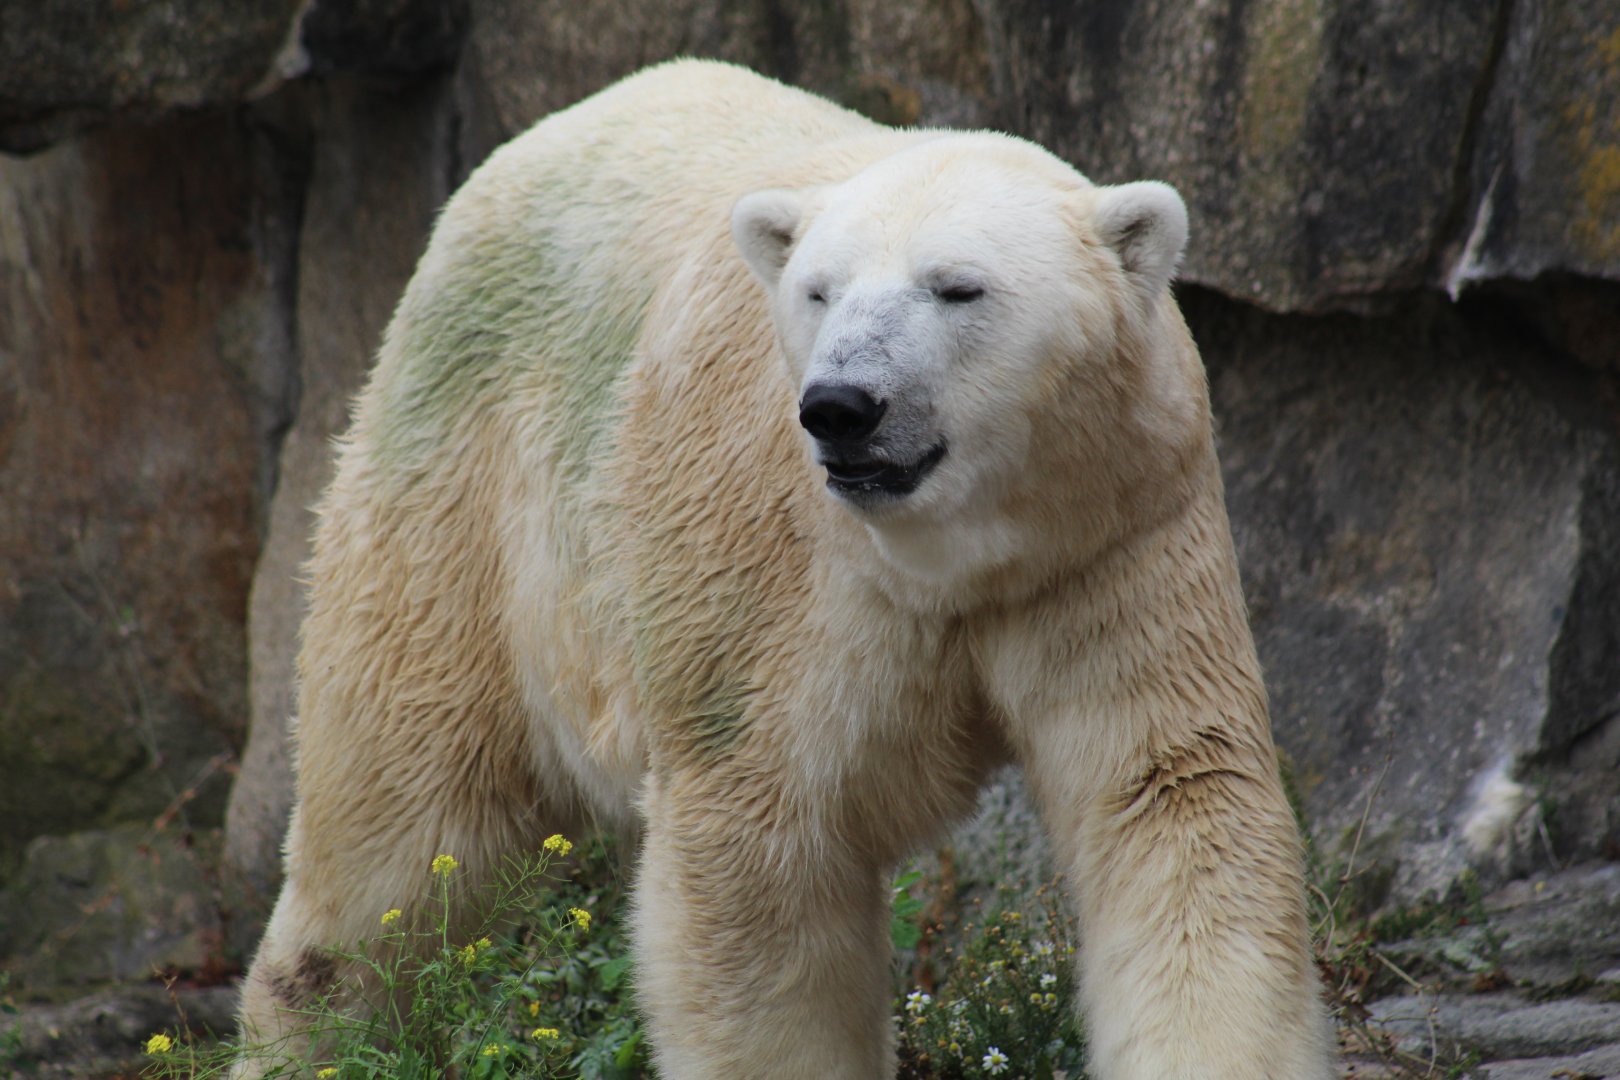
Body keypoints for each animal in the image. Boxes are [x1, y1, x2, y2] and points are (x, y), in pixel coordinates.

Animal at [236, 58, 1333, 1080]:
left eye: (958, 287)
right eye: (819, 290)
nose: (842, 405)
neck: (948, 552)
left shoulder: (1112, 532)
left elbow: (1170, 794)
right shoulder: (763, 576)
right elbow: (757, 848)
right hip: (468, 494)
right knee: (397, 818)